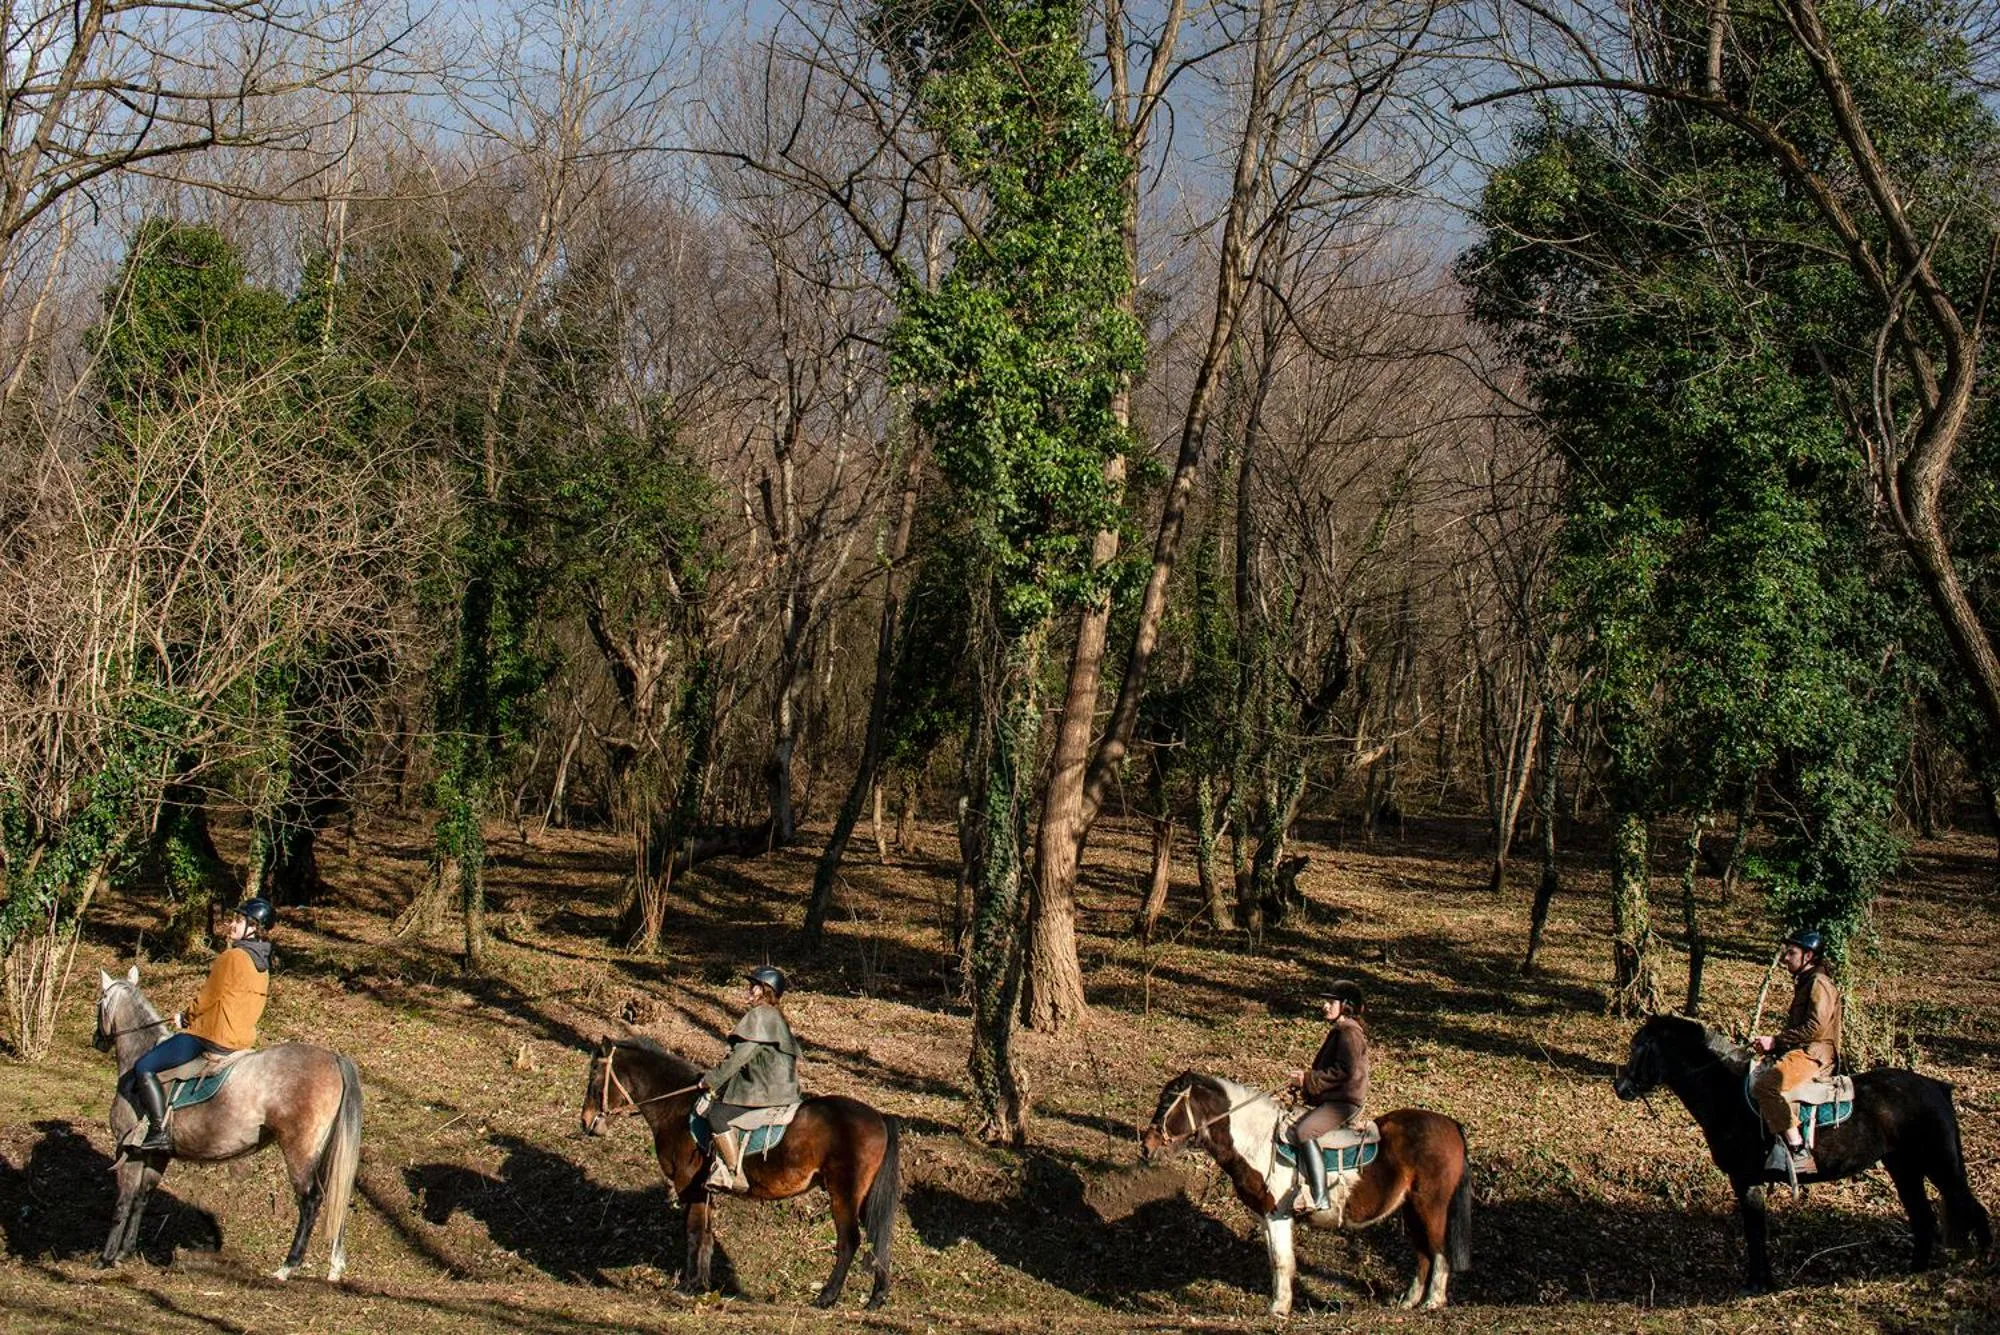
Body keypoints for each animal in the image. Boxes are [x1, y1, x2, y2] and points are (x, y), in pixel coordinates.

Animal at [92, 966, 364, 1280]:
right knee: (336, 1198)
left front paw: (106, 1258)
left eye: (99, 1003)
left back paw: (287, 1267)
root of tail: (334, 1058)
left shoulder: (129, 1151)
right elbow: (141, 1199)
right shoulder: (156, 1155)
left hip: (300, 1151)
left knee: (310, 1201)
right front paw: (125, 1252)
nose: (96, 1041)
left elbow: (123, 1202)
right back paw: (334, 1267)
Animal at [579, 1037, 902, 1309]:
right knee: (879, 1239)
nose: (585, 1122)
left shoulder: (689, 1187)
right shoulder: (705, 1192)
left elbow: (694, 1232)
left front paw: (687, 1286)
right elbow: (707, 1235)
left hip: (843, 1194)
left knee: (849, 1241)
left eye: (594, 1077)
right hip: (863, 1198)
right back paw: (877, 1298)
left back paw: (826, 1297)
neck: (678, 1109)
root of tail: (878, 1116)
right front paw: (702, 1285)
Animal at [1140, 1071, 1472, 1314]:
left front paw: (1277, 1309)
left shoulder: (1277, 1215)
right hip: (1411, 1208)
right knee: (1423, 1253)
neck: (1259, 1141)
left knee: (1439, 1251)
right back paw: (1409, 1301)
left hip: (1431, 1206)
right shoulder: (1266, 1217)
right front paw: (1282, 1304)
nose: (1146, 1147)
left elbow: (1281, 1260)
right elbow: (1278, 1261)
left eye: (1168, 1103)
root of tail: (1451, 1125)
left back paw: (1433, 1302)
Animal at [1614, 1013, 1991, 1291]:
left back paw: (1980, 1264)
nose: (1621, 1087)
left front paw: (1757, 1284)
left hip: (1940, 1166)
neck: (1727, 1094)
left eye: (1639, 1047)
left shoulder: (1745, 1178)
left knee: (1974, 1209)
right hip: (1904, 1168)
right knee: (1923, 1217)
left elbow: (1755, 1231)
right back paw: (1913, 1270)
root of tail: (1936, 1087)